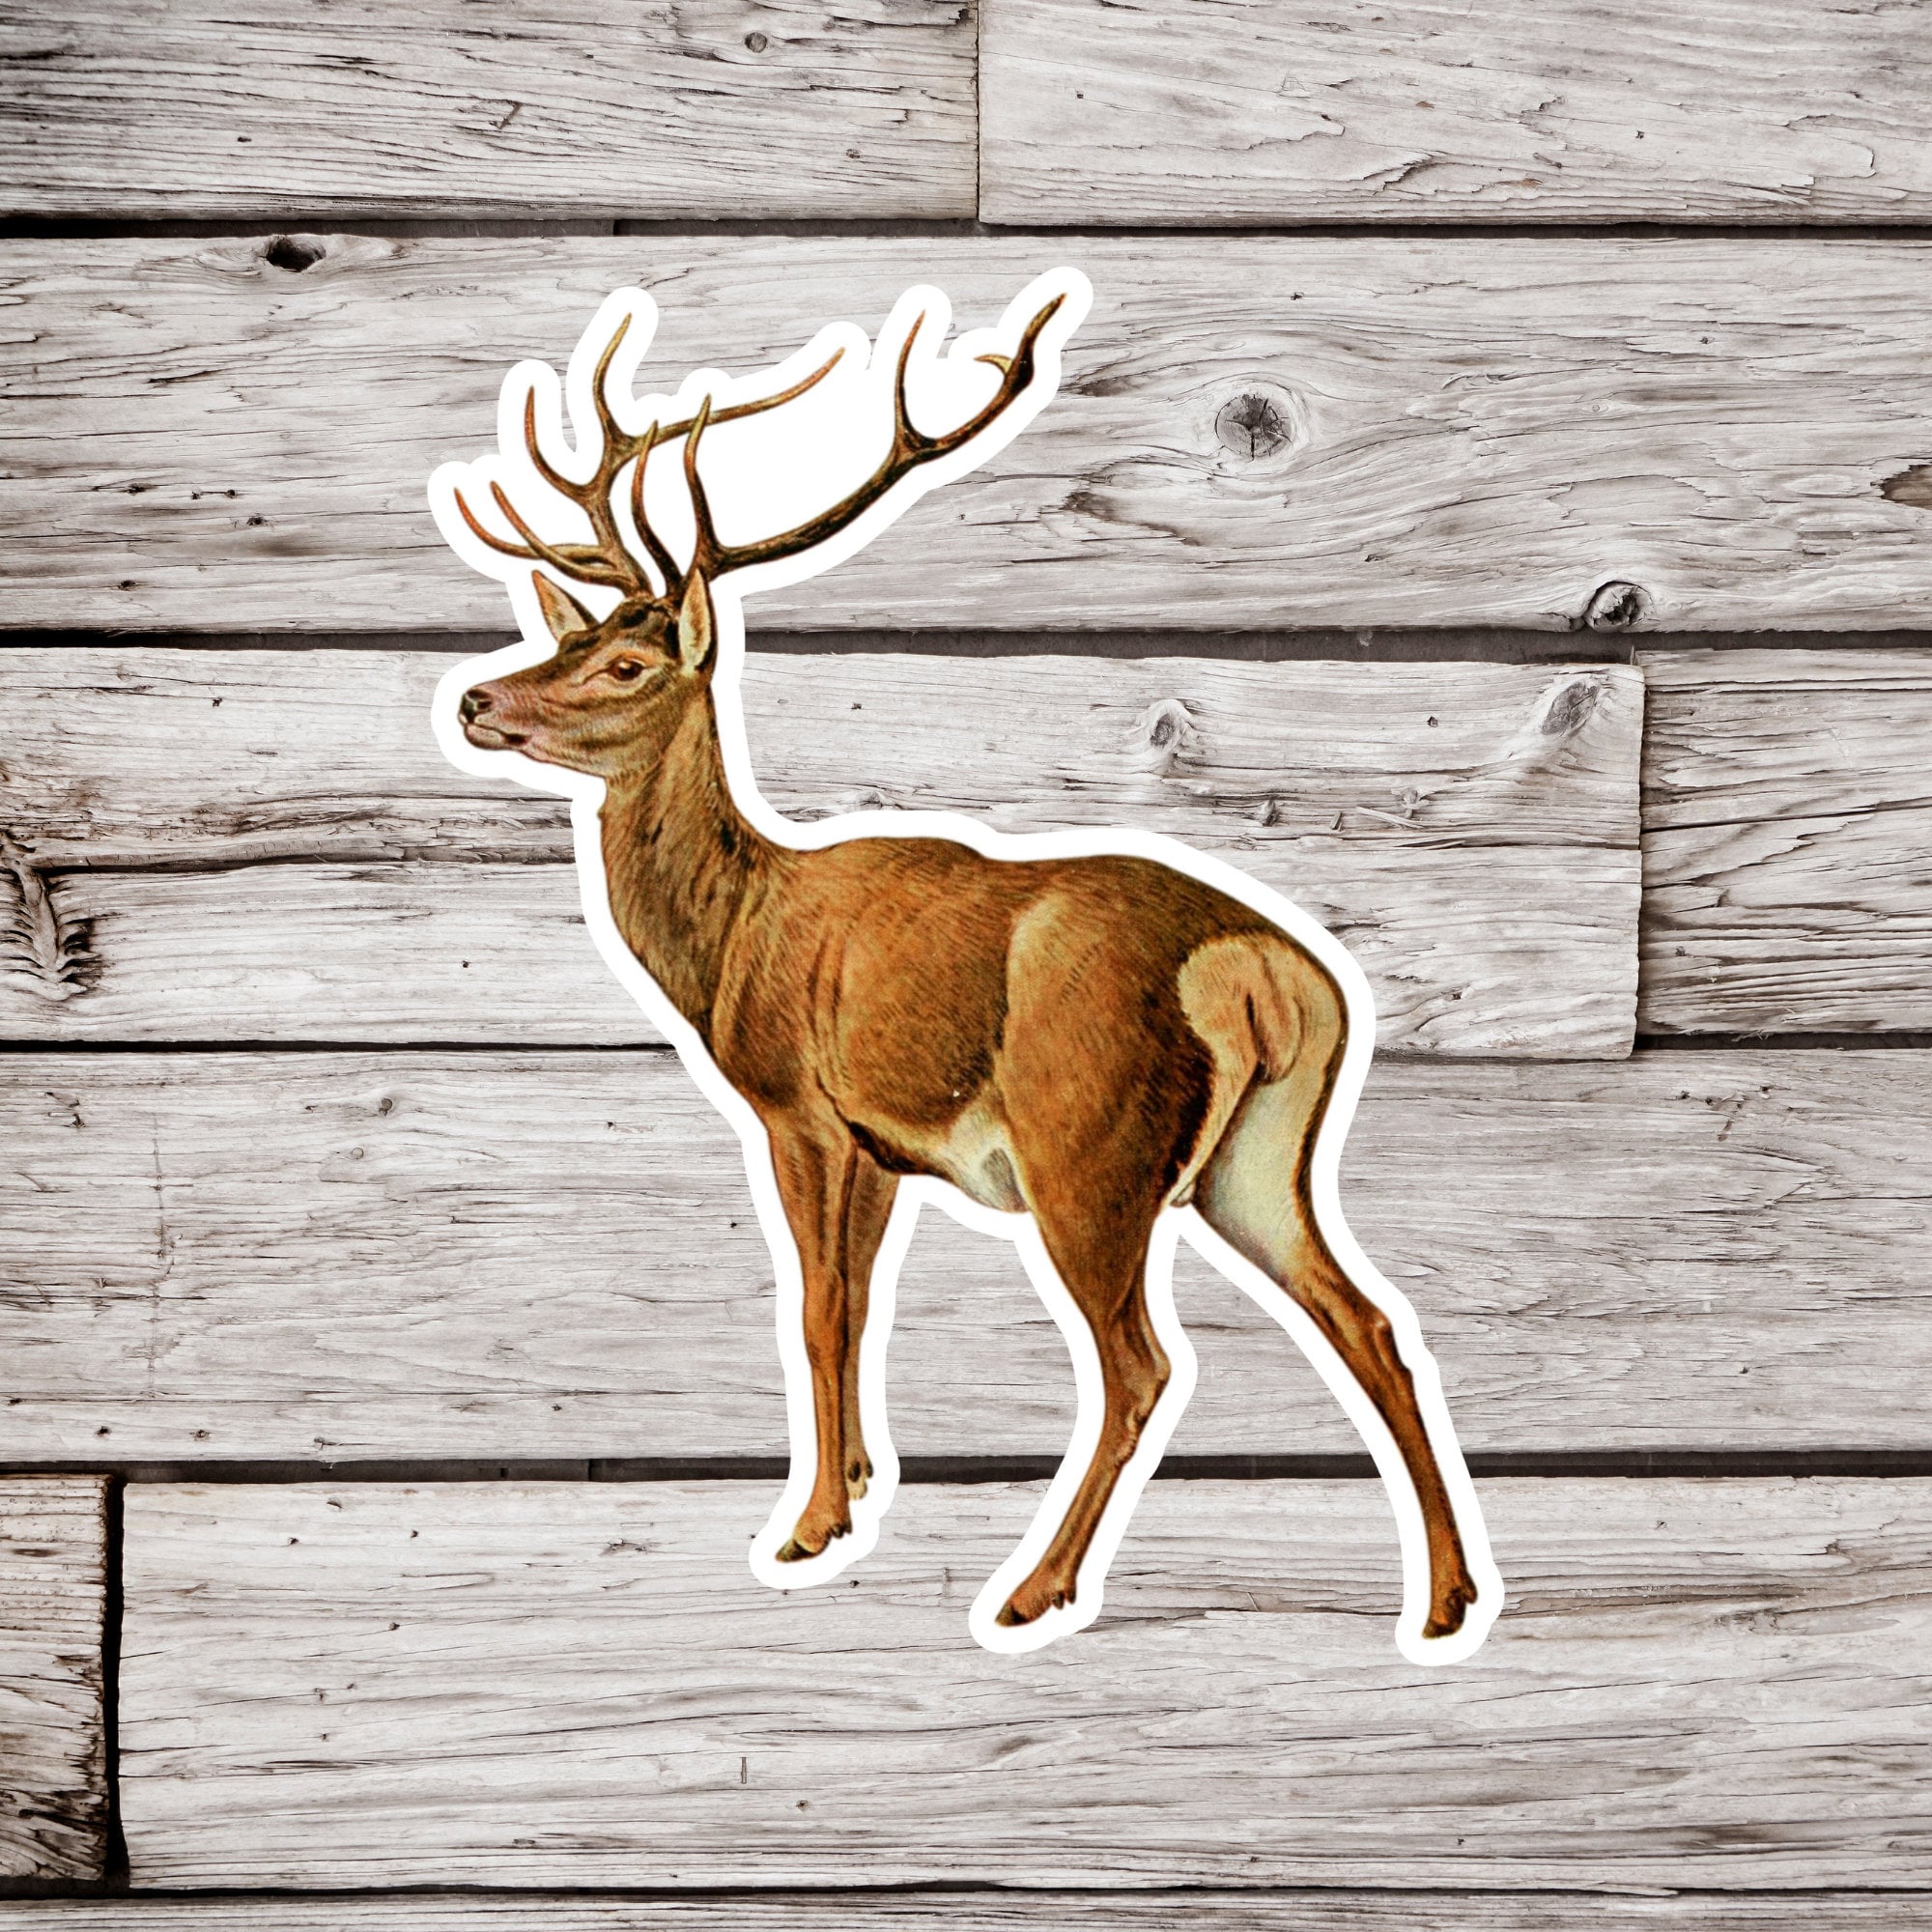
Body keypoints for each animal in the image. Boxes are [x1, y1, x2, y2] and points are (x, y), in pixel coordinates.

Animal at [429, 270, 1501, 1662]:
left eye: (626, 662)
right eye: (568, 640)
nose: (475, 702)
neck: (729, 943)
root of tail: (1260, 966)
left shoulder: (796, 1105)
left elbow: (814, 1309)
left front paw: (808, 1526)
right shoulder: (886, 1145)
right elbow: (858, 1309)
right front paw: (858, 1486)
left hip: (1087, 1147)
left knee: (1144, 1364)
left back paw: (1035, 1588)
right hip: (1257, 1162)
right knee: (1368, 1317)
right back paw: (1447, 1596)